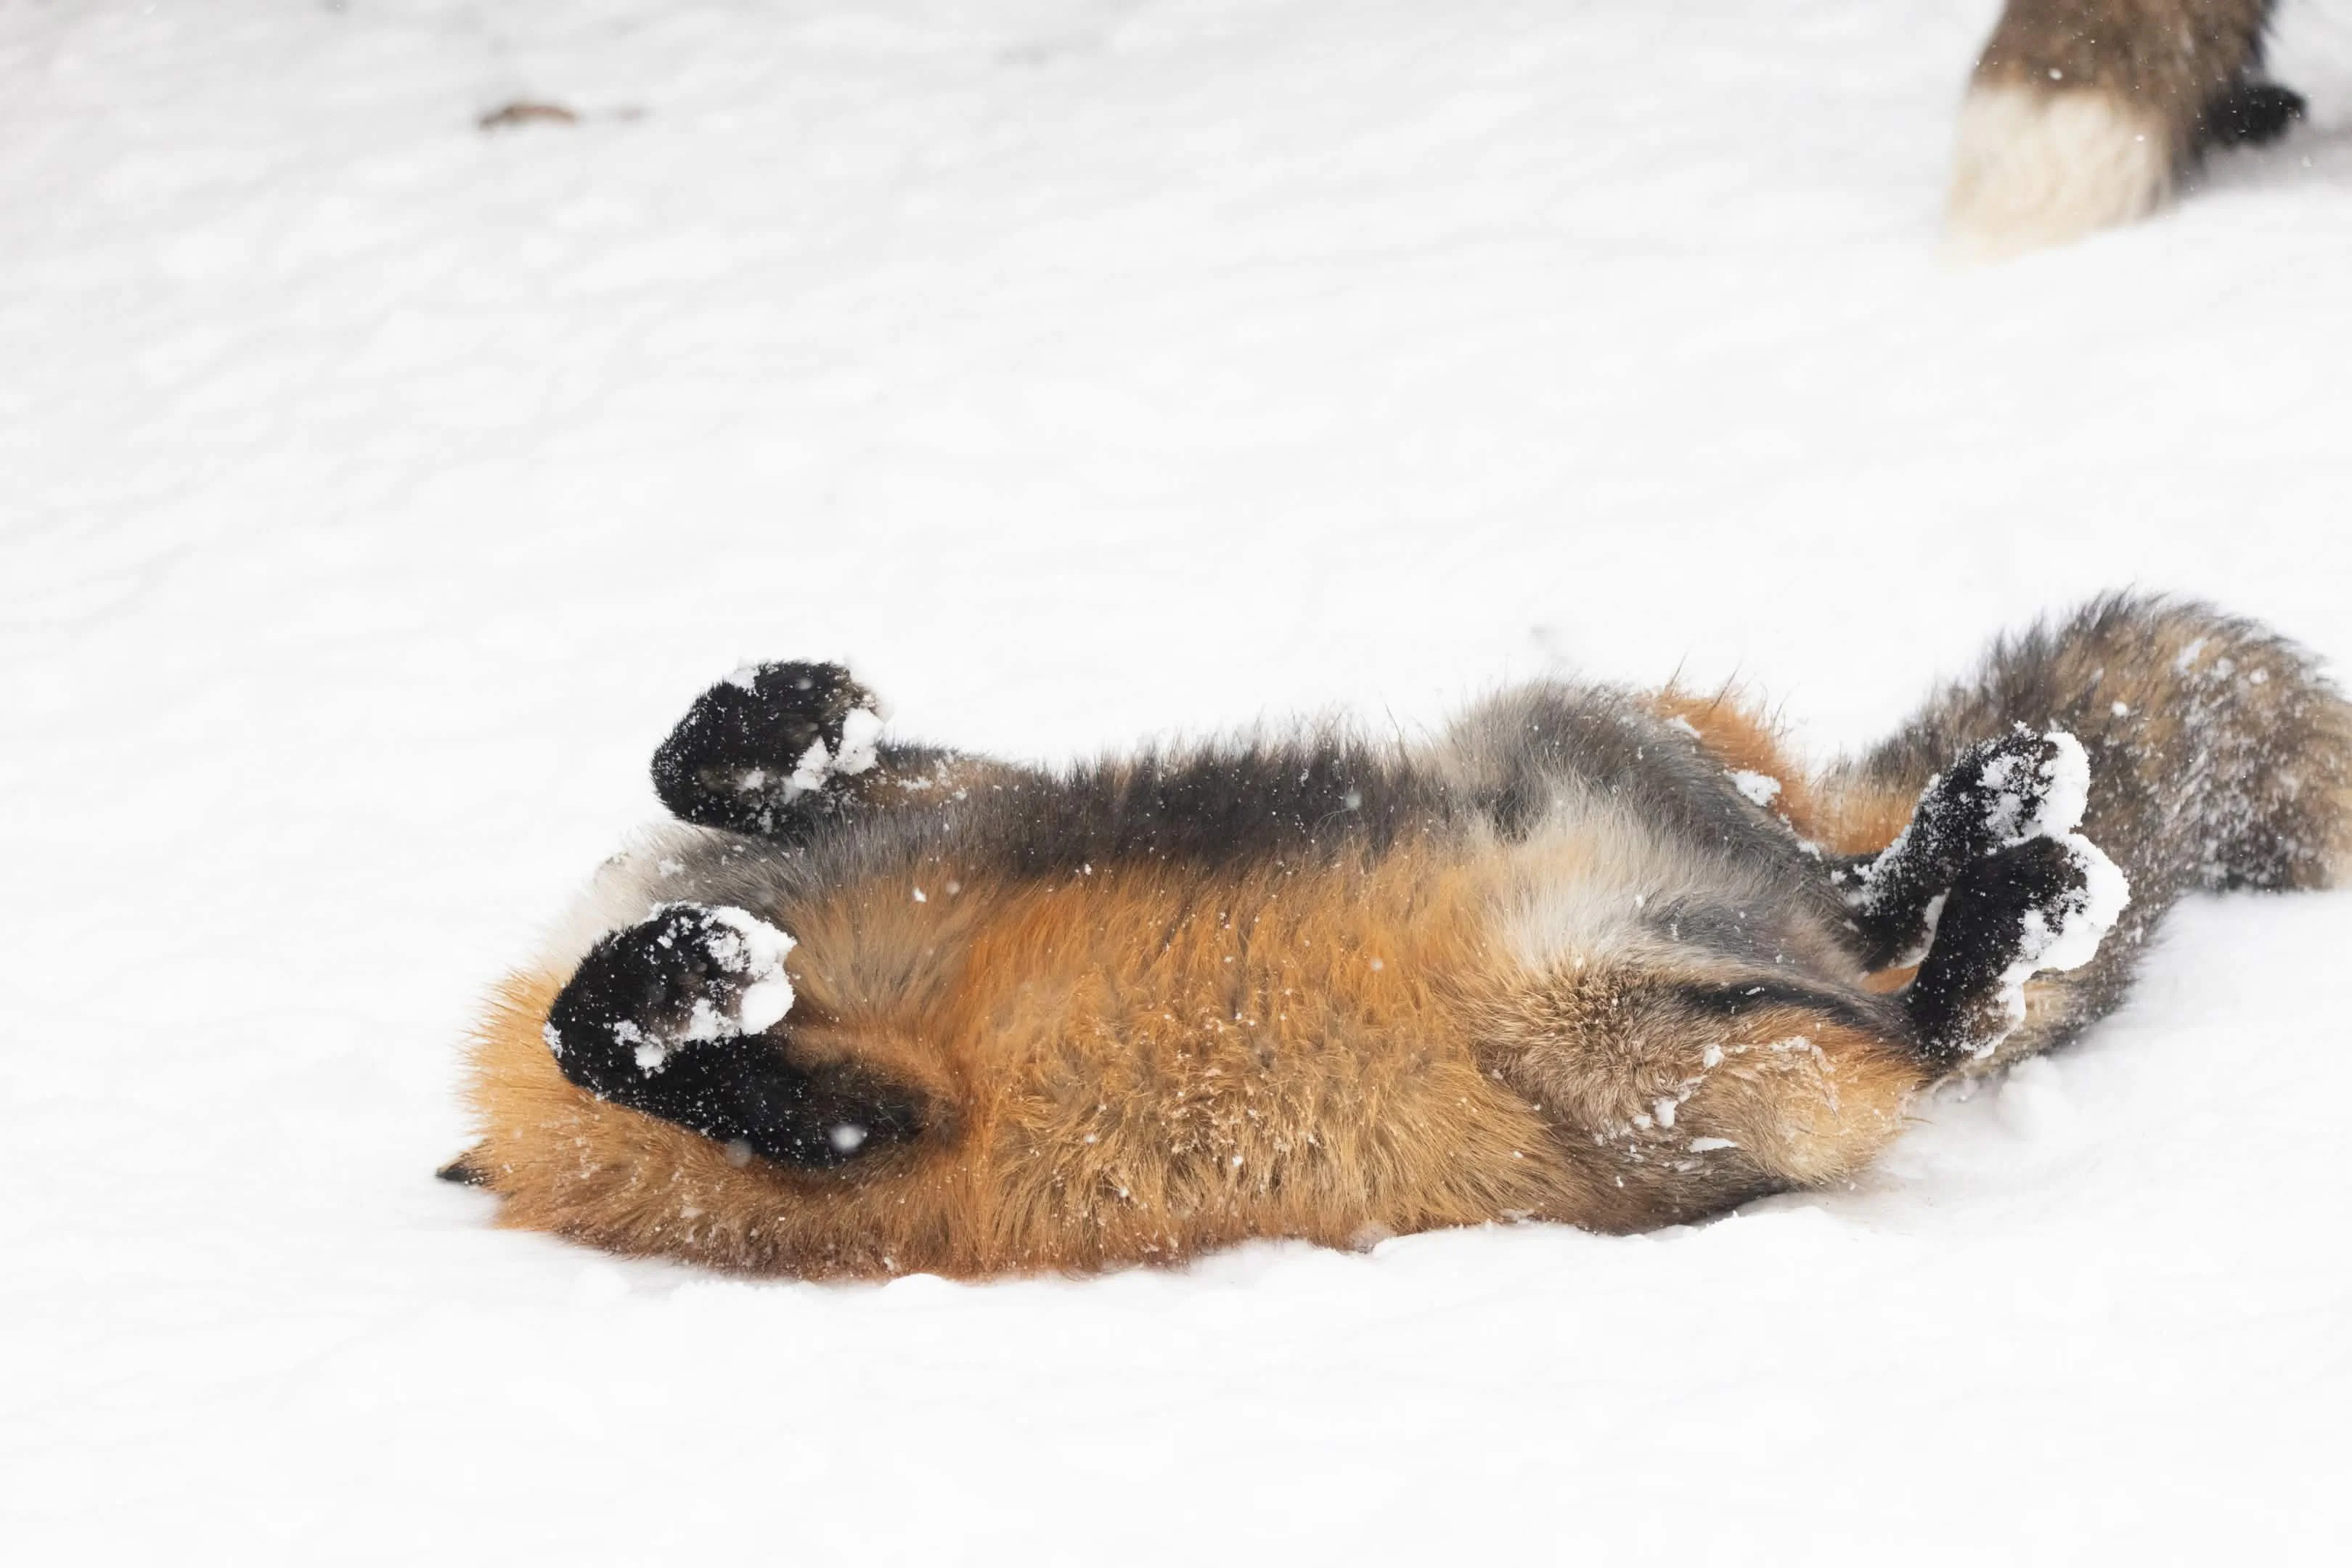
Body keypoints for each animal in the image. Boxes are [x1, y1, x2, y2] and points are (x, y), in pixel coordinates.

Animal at [444, 596, 2352, 1279]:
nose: (711, 947)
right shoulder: (886, 1134)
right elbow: (597, 1029)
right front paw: (685, 982)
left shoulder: (944, 817)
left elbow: (694, 765)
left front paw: (778, 716)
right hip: (1674, 1045)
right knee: (1920, 1020)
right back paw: (2010, 894)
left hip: (1561, 742)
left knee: (1861, 891)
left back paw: (1993, 818)